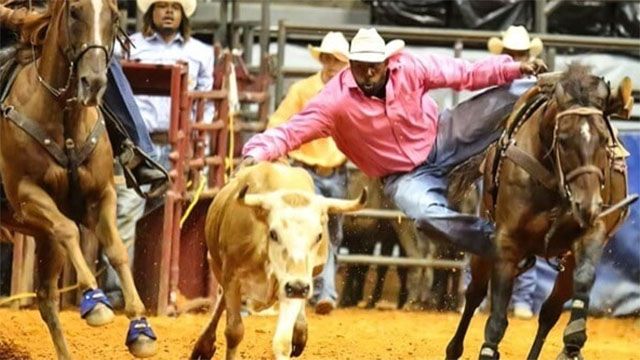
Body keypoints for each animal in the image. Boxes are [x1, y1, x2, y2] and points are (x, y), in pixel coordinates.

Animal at [0, 1, 156, 358]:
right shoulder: (26, 195)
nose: (94, 81)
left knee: (46, 300)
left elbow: (116, 250)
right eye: (74, 12)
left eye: (114, 16)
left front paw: (140, 328)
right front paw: (95, 303)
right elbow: (69, 229)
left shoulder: (101, 196)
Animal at [444, 65, 636, 360]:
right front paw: (488, 349)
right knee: (475, 293)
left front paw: (574, 340)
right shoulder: (507, 241)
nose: (588, 205)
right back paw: (454, 349)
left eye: (604, 140)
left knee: (549, 312)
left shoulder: (592, 232)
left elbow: (583, 280)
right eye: (564, 140)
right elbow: (497, 314)